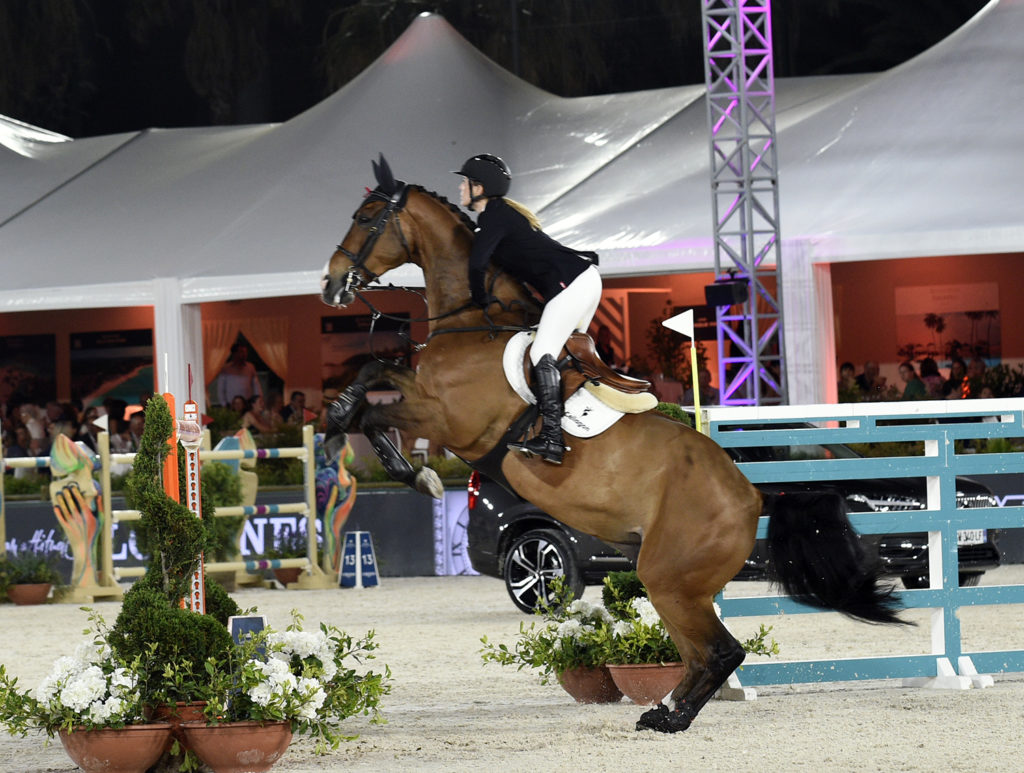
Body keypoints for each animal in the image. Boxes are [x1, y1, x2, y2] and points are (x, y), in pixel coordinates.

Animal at [319, 155, 905, 733]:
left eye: (367, 218)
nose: (330, 285)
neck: (468, 321)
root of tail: (755, 495)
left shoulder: (448, 418)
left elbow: (376, 410)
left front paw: (400, 464)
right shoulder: (425, 396)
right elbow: (375, 371)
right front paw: (345, 418)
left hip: (669, 578)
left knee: (721, 652)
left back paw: (671, 719)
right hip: (667, 578)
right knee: (701, 655)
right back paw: (662, 711)